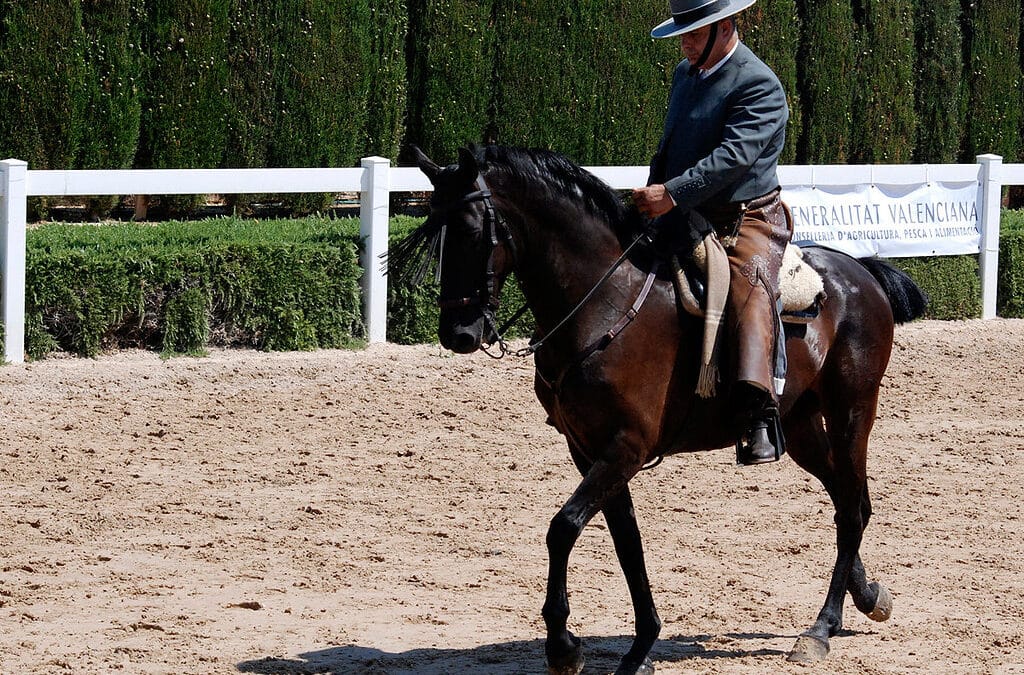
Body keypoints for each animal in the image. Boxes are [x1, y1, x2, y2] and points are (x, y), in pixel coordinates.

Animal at [391, 145, 929, 671]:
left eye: (470, 231)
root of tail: (859, 271)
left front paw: (563, 646)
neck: (606, 301)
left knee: (852, 508)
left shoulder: (626, 447)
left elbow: (563, 527)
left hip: (851, 410)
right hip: (800, 426)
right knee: (846, 500)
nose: (457, 334)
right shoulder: (589, 450)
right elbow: (626, 540)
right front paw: (641, 645)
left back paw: (821, 628)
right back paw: (866, 596)